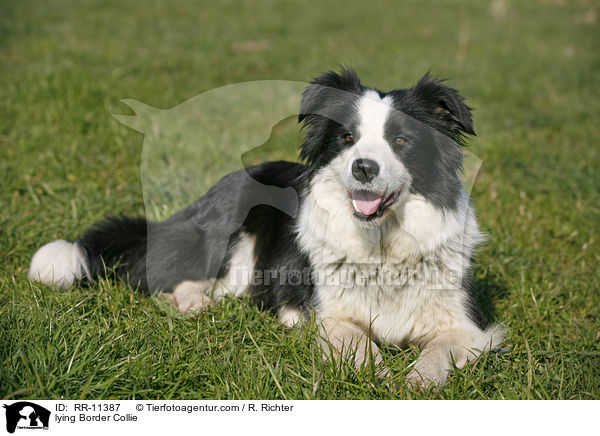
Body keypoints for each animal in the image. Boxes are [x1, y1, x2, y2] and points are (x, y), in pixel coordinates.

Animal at [29, 69, 506, 388]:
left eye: (401, 140)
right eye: (347, 139)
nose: (363, 168)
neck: (383, 242)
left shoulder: (467, 325)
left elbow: (440, 351)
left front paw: (415, 382)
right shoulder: (329, 314)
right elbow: (357, 340)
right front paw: (382, 377)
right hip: (237, 237)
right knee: (171, 277)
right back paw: (194, 304)